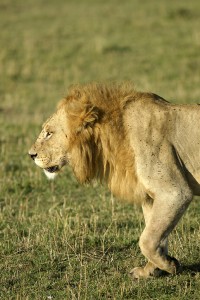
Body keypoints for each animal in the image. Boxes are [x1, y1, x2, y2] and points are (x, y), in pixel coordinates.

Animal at [28, 82, 200, 278]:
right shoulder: (151, 197)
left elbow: (146, 240)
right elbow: (156, 235)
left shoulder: (174, 192)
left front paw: (170, 265)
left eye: (49, 133)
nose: (31, 155)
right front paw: (150, 270)